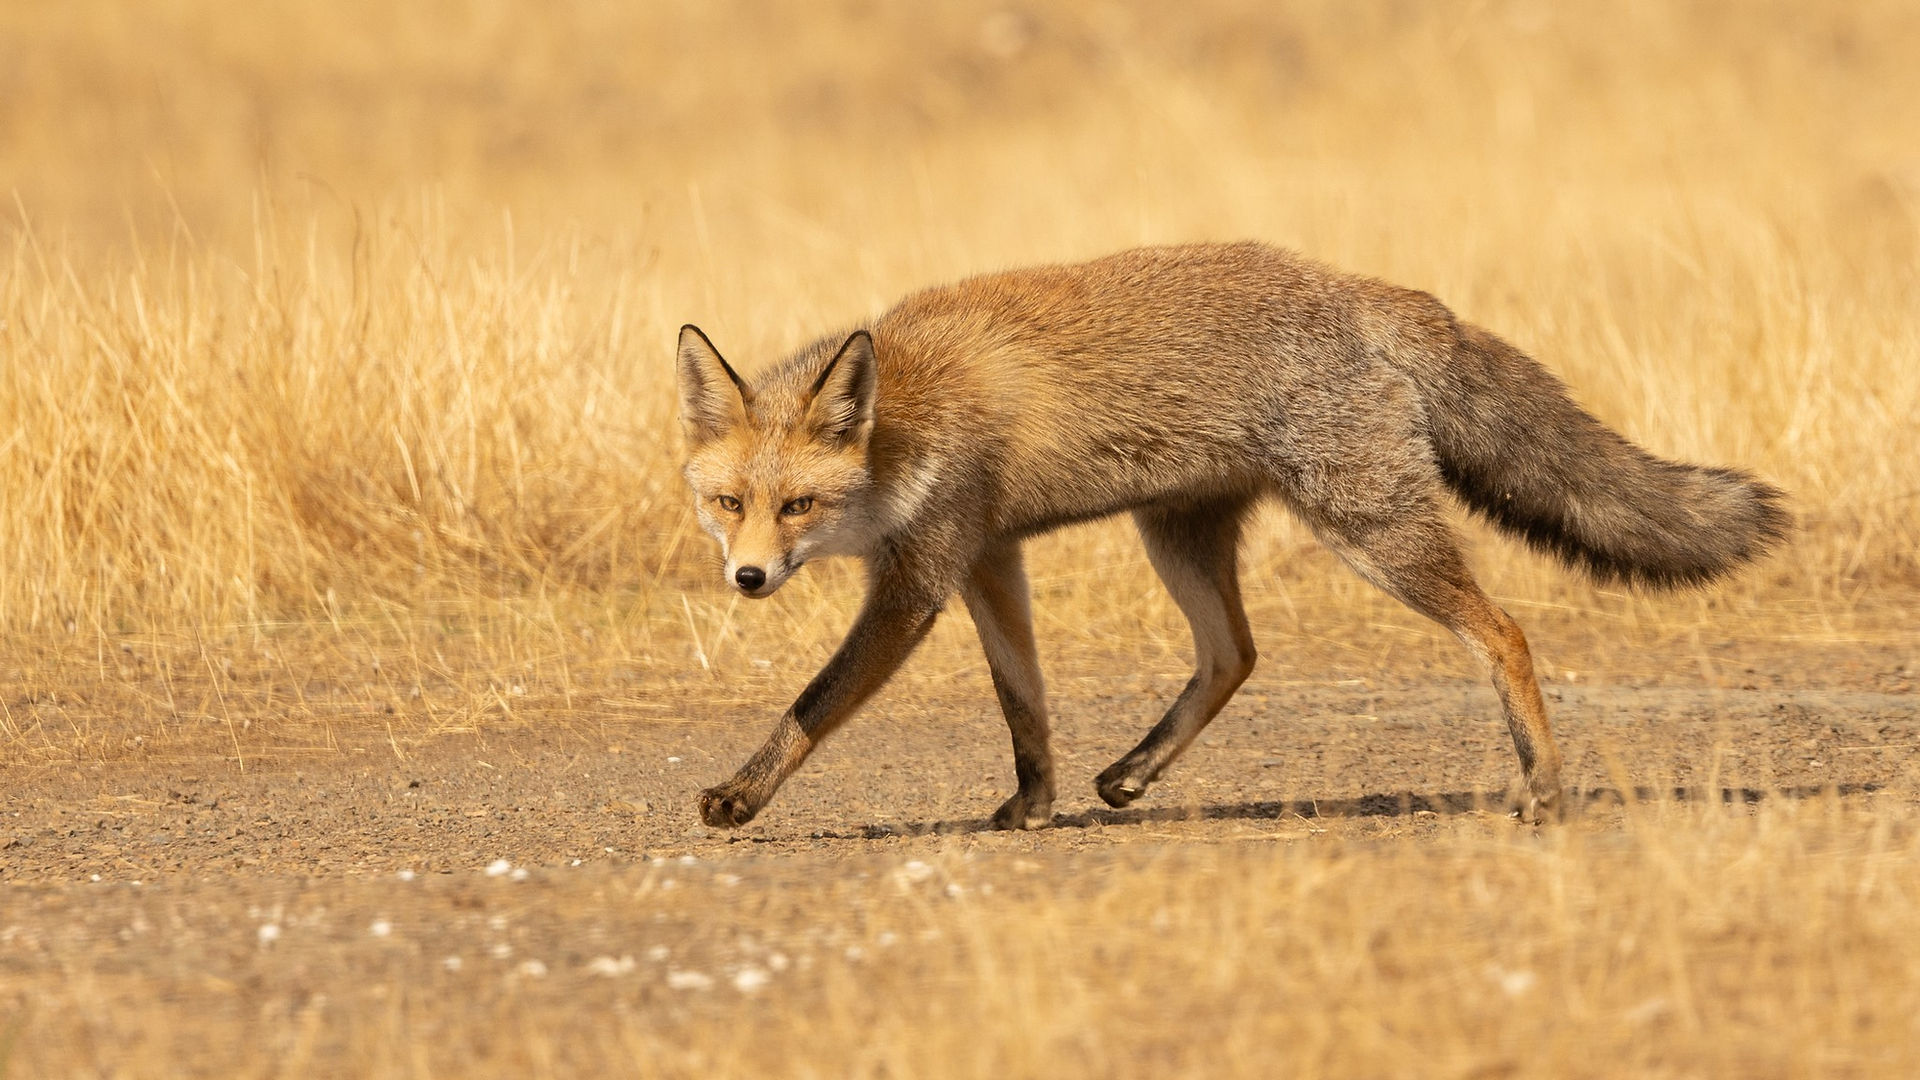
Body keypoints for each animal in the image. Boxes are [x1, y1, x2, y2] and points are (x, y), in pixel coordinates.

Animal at [675, 242, 1787, 831]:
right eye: (728, 502)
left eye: (798, 507)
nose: (748, 579)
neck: (908, 409)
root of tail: (1374, 291)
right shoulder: (988, 557)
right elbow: (1022, 702)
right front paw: (1034, 805)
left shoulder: (919, 580)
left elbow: (816, 701)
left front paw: (740, 796)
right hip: (1180, 535)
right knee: (1235, 654)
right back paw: (1131, 773)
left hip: (1369, 530)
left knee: (1505, 632)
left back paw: (1544, 788)